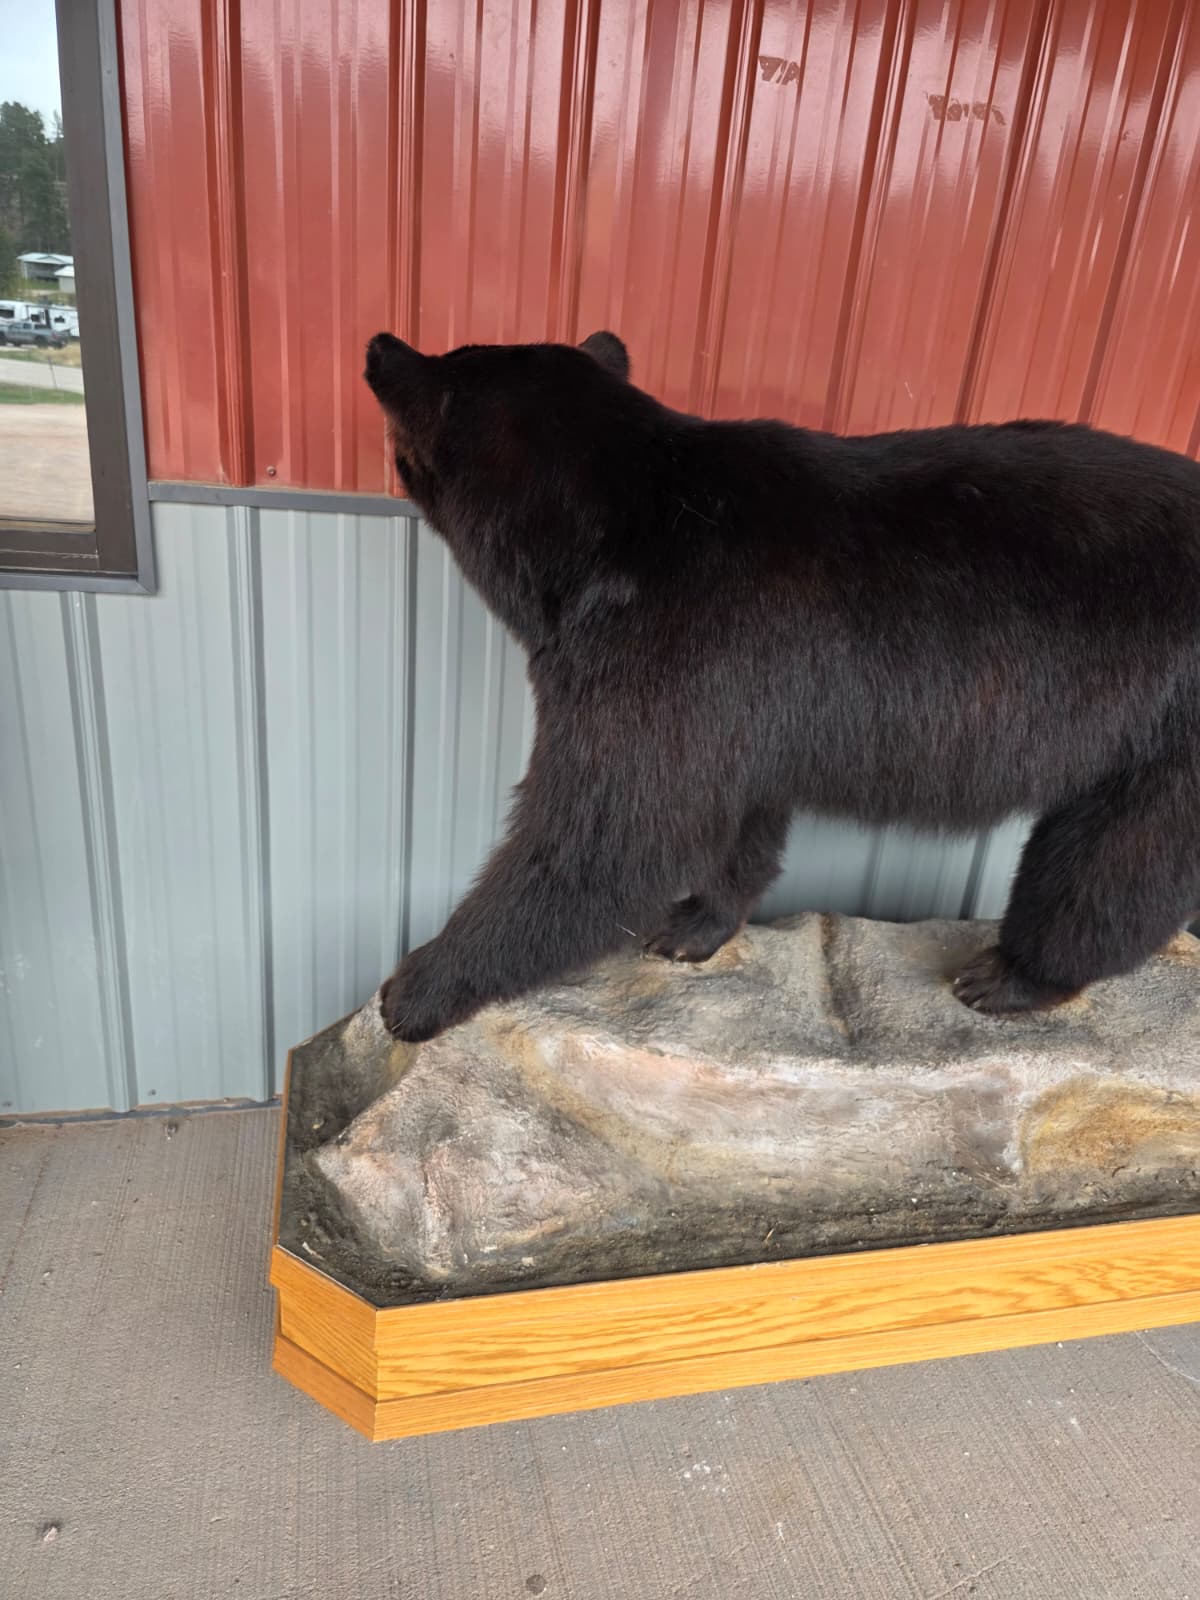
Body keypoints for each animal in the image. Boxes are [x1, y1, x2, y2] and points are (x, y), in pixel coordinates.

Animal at [364, 328, 1200, 1043]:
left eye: (446, 365)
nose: (379, 344)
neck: (606, 545)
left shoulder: (674, 647)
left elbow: (609, 833)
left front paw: (414, 988)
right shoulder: (743, 695)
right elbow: (739, 812)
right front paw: (694, 924)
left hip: (1165, 728)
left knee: (1119, 860)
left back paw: (1010, 975)